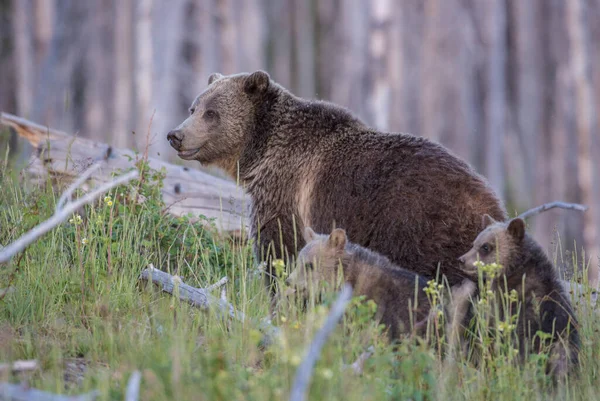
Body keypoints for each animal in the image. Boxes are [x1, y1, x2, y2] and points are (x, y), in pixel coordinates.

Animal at [168, 69, 506, 294]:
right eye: (194, 107)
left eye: (212, 113)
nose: (176, 135)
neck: (261, 152)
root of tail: (493, 204)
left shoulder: (286, 193)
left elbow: (279, 250)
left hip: (421, 228)